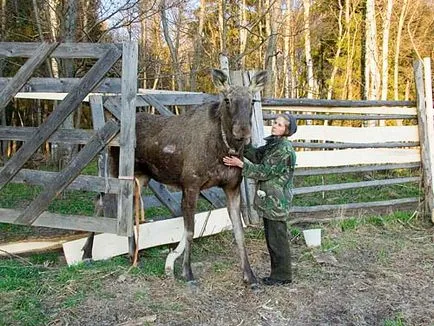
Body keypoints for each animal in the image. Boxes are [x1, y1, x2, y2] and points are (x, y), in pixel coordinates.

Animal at [82, 69, 266, 286]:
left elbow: (239, 231)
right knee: (100, 200)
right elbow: (190, 231)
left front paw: (250, 275)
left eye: (252, 101)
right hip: (114, 170)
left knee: (131, 206)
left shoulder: (232, 186)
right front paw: (187, 273)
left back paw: (133, 254)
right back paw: (87, 254)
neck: (223, 149)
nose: (242, 131)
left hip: (141, 177)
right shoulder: (191, 184)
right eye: (227, 100)